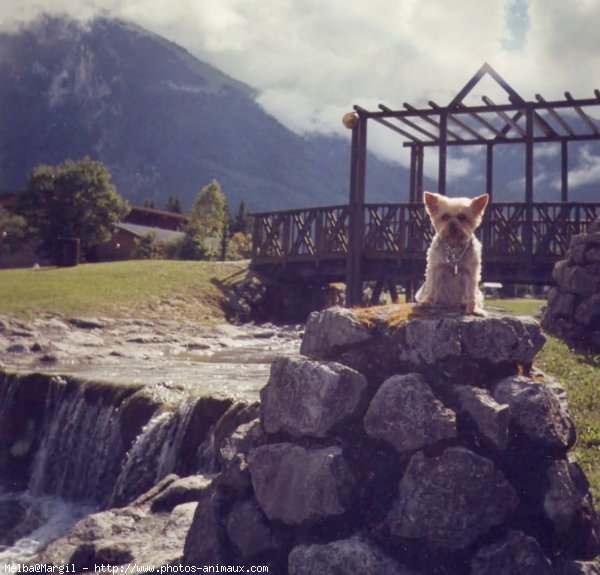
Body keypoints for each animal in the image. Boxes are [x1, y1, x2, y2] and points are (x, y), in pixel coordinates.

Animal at [414, 192, 490, 320]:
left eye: (462, 217)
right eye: (445, 217)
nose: (453, 227)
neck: (454, 247)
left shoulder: (471, 272)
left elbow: (471, 292)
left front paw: (473, 309)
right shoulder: (435, 268)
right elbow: (432, 286)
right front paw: (427, 302)